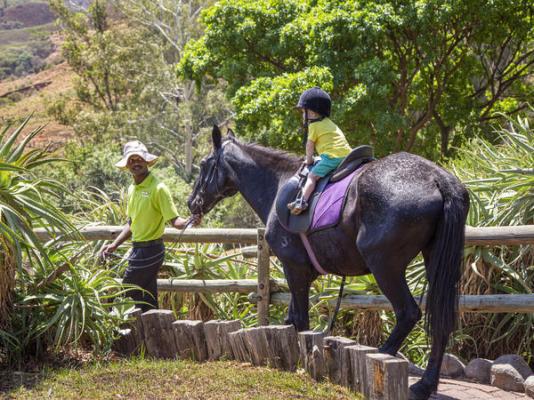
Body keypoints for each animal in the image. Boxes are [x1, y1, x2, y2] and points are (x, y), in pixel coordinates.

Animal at [187, 126, 468, 400]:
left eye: (203, 164)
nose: (192, 203)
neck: (278, 184)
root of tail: (438, 178)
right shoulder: (299, 273)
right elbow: (292, 320)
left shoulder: (294, 268)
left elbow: (300, 321)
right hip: (434, 264)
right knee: (441, 322)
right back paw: (424, 385)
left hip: (384, 267)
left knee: (408, 313)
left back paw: (384, 357)